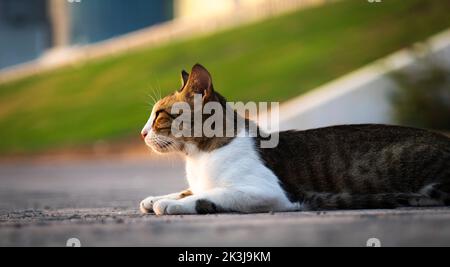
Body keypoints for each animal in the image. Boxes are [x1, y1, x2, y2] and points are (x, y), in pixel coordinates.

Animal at [140, 63, 450, 217]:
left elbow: (209, 195)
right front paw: (158, 197)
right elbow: (187, 190)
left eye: (159, 115)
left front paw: (170, 205)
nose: (142, 133)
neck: (198, 156)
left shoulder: (267, 191)